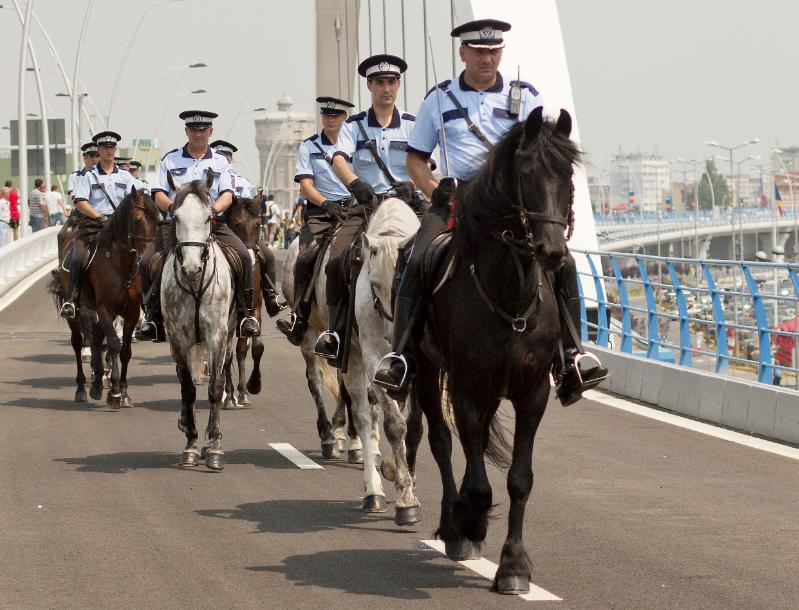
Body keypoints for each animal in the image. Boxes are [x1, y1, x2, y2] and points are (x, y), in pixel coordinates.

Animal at [50, 189, 161, 408]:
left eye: (158, 221)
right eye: (137, 219)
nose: (147, 255)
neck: (121, 265)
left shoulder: (131, 312)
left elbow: (124, 350)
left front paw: (123, 393)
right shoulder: (104, 309)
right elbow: (113, 344)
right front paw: (115, 392)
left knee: (96, 338)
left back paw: (97, 383)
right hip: (76, 310)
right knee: (78, 342)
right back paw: (82, 388)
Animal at [412, 107, 580, 592]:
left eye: (567, 173)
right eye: (525, 172)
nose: (552, 251)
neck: (510, 296)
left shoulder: (532, 394)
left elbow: (519, 479)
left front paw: (514, 566)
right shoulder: (466, 389)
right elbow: (477, 481)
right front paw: (469, 524)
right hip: (425, 371)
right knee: (442, 441)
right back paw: (455, 524)